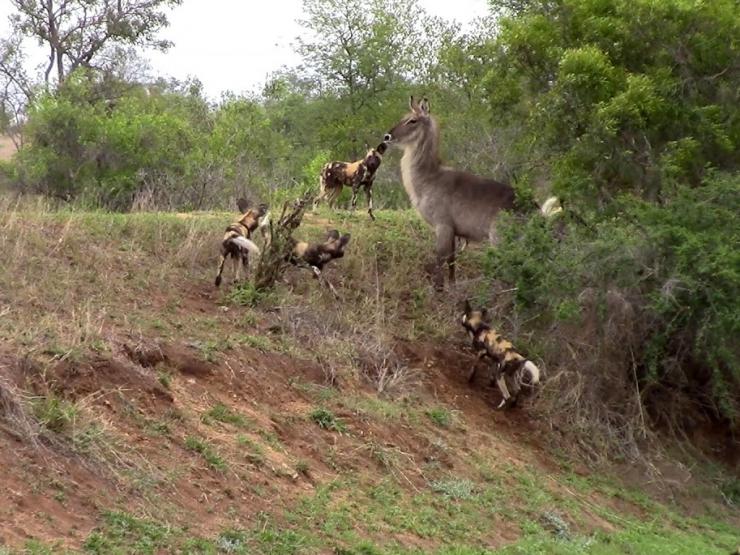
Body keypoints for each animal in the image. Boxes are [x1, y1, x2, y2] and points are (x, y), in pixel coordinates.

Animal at [382, 97, 560, 292]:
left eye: (412, 120)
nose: (387, 137)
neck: (429, 178)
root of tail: (537, 211)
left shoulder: (442, 225)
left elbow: (440, 258)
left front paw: (438, 289)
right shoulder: (453, 231)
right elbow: (452, 260)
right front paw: (452, 286)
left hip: (501, 240)